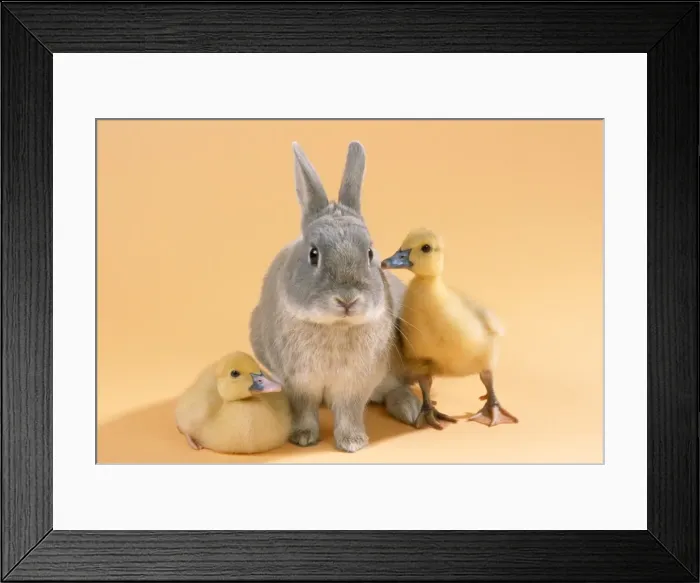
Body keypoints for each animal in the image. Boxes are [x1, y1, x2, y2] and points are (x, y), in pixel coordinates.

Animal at [249, 140, 422, 453]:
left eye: (370, 253)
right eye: (313, 254)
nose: (347, 300)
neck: (335, 326)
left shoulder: (355, 384)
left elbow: (350, 411)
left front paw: (353, 443)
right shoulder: (298, 382)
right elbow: (304, 408)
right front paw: (303, 437)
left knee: (392, 389)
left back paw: (410, 410)